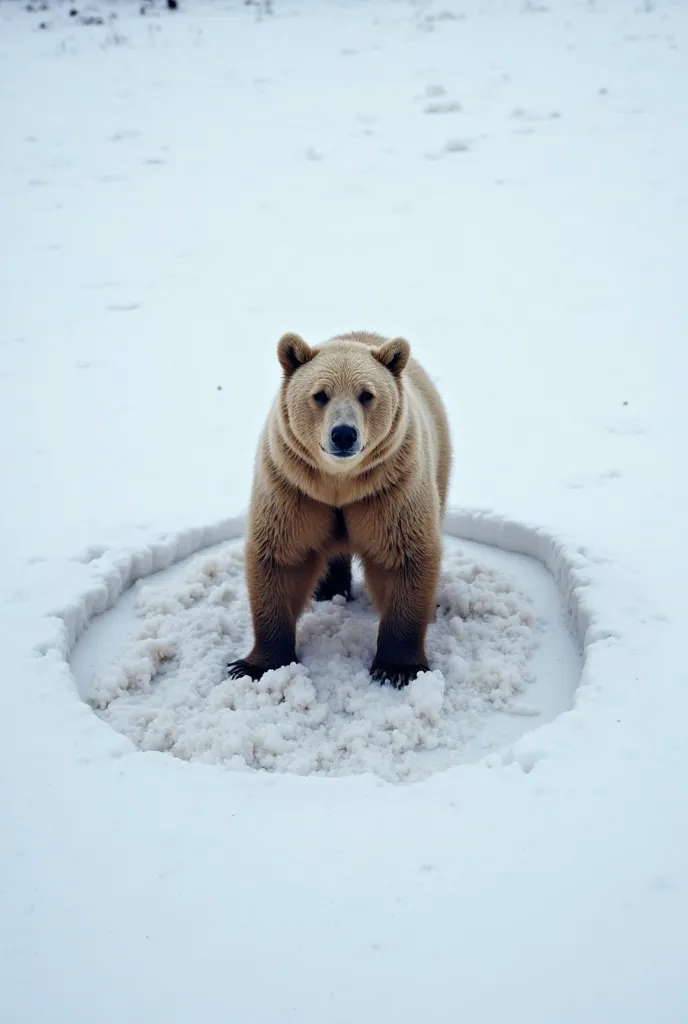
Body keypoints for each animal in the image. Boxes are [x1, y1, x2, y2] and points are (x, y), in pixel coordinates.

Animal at [228, 329, 454, 688]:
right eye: (320, 394)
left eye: (366, 394)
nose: (344, 434)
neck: (339, 484)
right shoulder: (293, 489)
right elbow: (280, 556)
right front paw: (255, 665)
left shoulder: (390, 491)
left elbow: (404, 557)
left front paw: (397, 667)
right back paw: (329, 587)